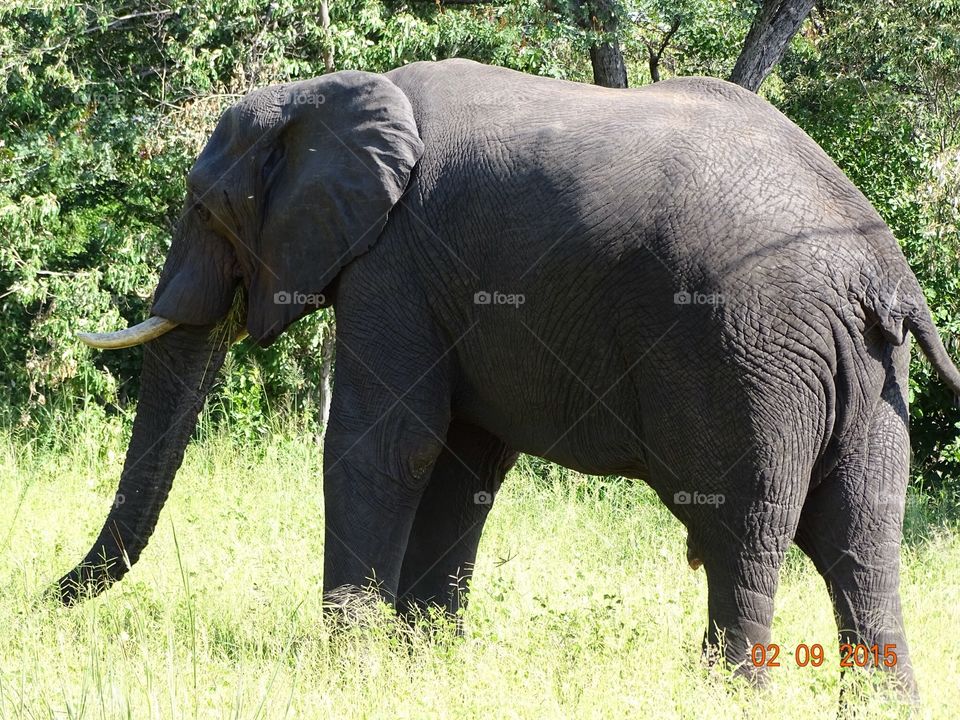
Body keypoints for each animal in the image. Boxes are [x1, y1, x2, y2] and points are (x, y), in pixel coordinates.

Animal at [59, 59, 960, 698]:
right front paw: (423, 664)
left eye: (208, 210)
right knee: (861, 532)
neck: (326, 93)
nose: (44, 599)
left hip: (747, 352)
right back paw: (882, 705)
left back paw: (729, 697)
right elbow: (463, 462)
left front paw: (351, 670)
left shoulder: (396, 260)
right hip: (865, 370)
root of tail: (880, 270)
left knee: (745, 527)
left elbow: (387, 444)